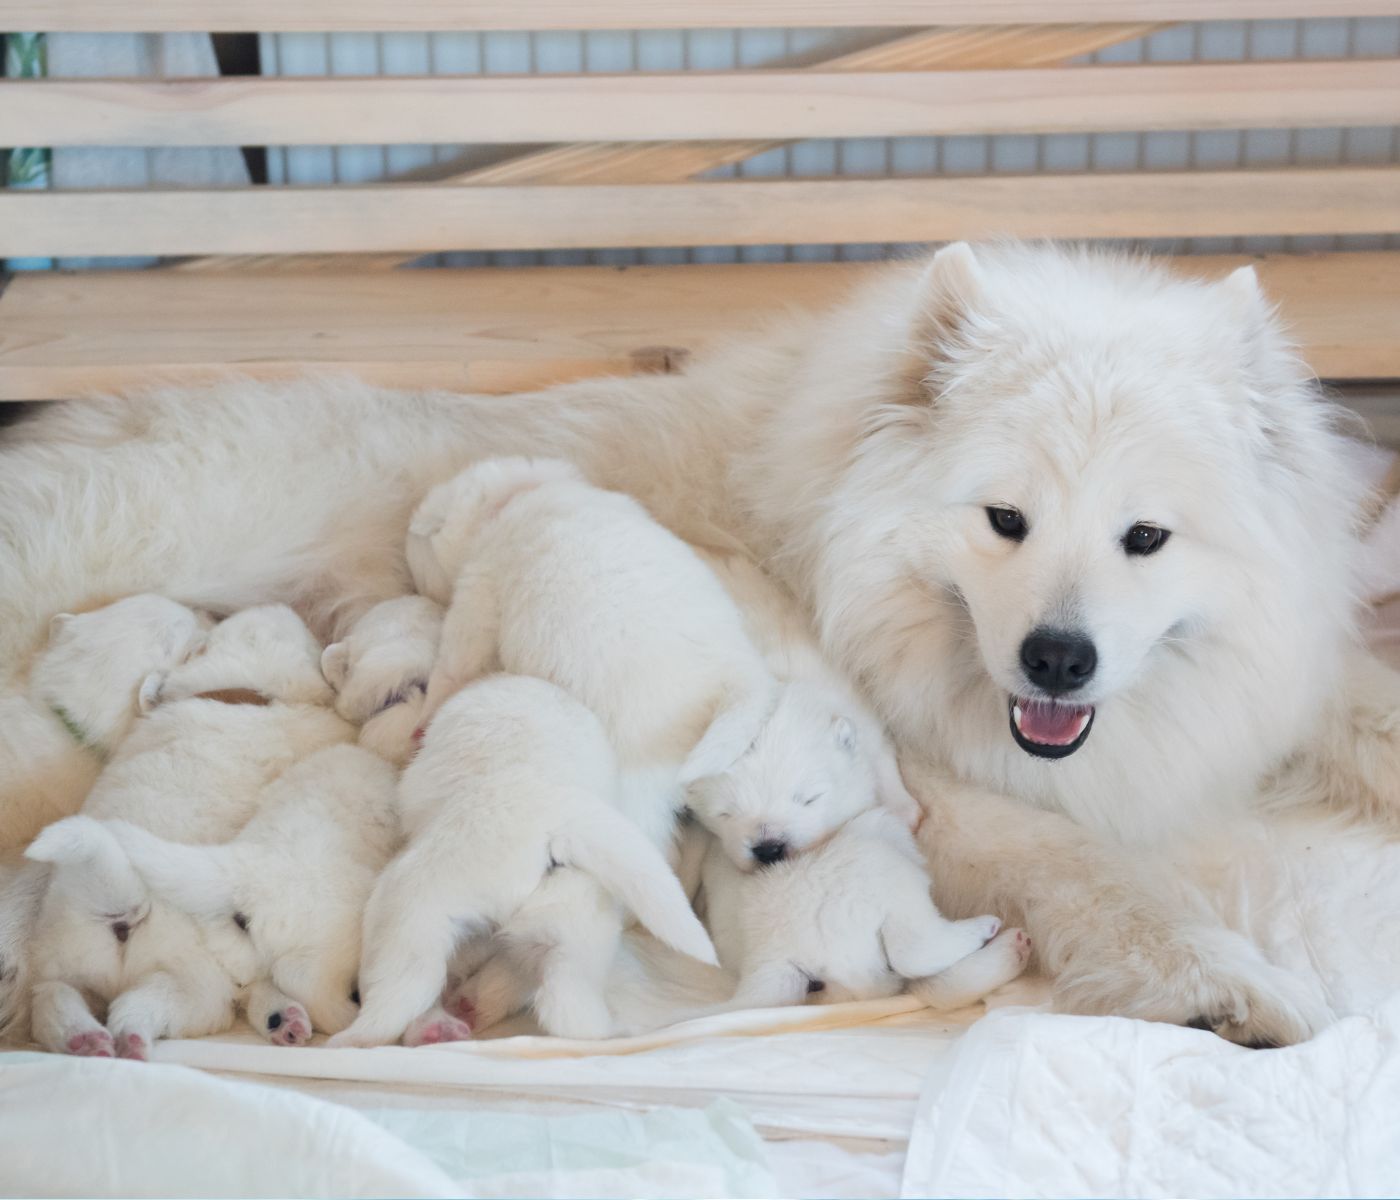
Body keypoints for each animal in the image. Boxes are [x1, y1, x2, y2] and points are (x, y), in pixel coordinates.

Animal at [22, 607, 352, 1058]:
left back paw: (84, 1038)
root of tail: (126, 908)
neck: (244, 689)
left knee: (54, 997)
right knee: (140, 1004)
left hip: (68, 954)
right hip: (195, 982)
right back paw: (131, 1038)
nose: (208, 612)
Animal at [333, 674, 716, 1047]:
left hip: (411, 908)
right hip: (574, 926)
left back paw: (358, 1038)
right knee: (567, 1005)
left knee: (397, 1000)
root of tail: (554, 827)